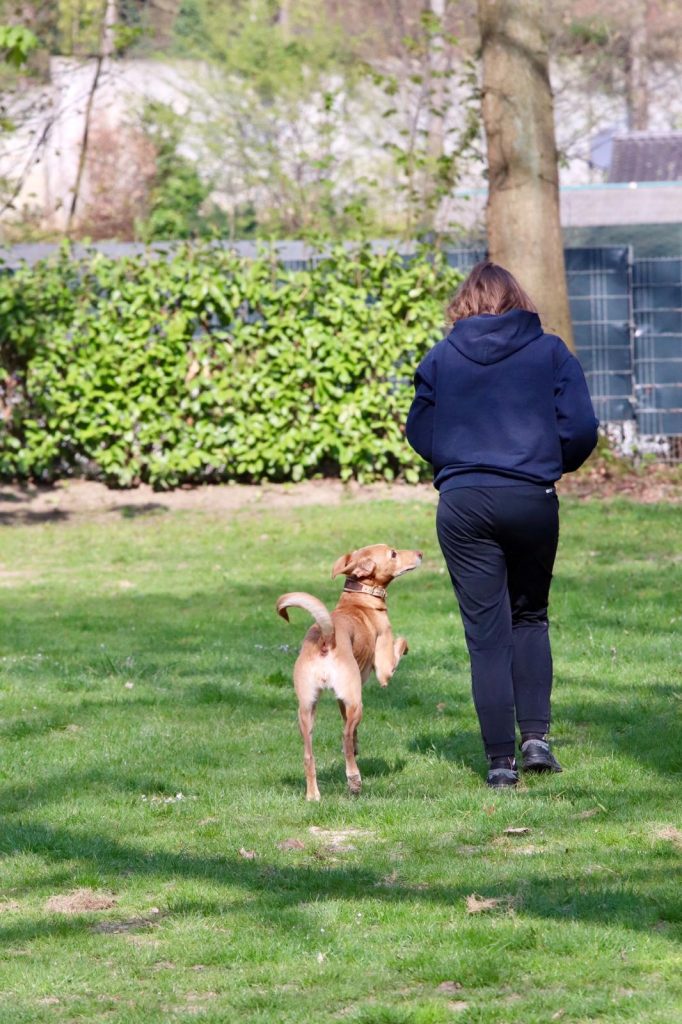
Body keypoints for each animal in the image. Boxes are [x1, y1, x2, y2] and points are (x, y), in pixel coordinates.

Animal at [276, 544, 422, 800]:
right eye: (393, 553)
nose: (420, 554)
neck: (360, 599)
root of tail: (326, 638)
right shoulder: (383, 668)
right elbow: (401, 641)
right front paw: (405, 647)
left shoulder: (341, 699)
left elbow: (350, 730)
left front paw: (357, 745)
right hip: (356, 702)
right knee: (343, 739)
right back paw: (354, 780)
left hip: (307, 709)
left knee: (310, 754)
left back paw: (313, 795)